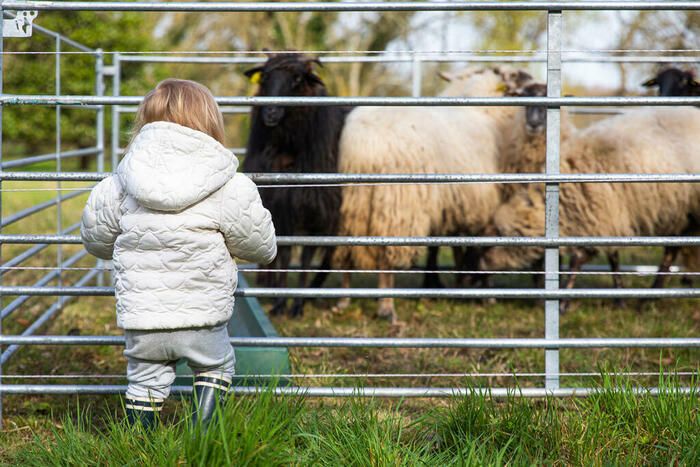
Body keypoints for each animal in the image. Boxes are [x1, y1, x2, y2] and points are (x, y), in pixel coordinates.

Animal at [334, 66, 532, 322]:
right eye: (514, 76)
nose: (533, 80)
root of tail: (363, 145)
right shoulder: (483, 204)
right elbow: (481, 245)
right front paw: (484, 291)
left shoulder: (451, 203)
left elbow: (444, 244)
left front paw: (447, 283)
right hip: (396, 204)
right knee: (386, 255)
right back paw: (386, 307)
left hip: (352, 202)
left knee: (346, 247)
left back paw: (343, 300)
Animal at [484, 105, 700, 308]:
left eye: (489, 243)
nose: (481, 268)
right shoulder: (608, 218)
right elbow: (613, 257)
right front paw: (619, 297)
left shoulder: (600, 216)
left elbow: (578, 259)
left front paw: (564, 303)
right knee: (672, 251)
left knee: (671, 252)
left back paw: (650, 298)